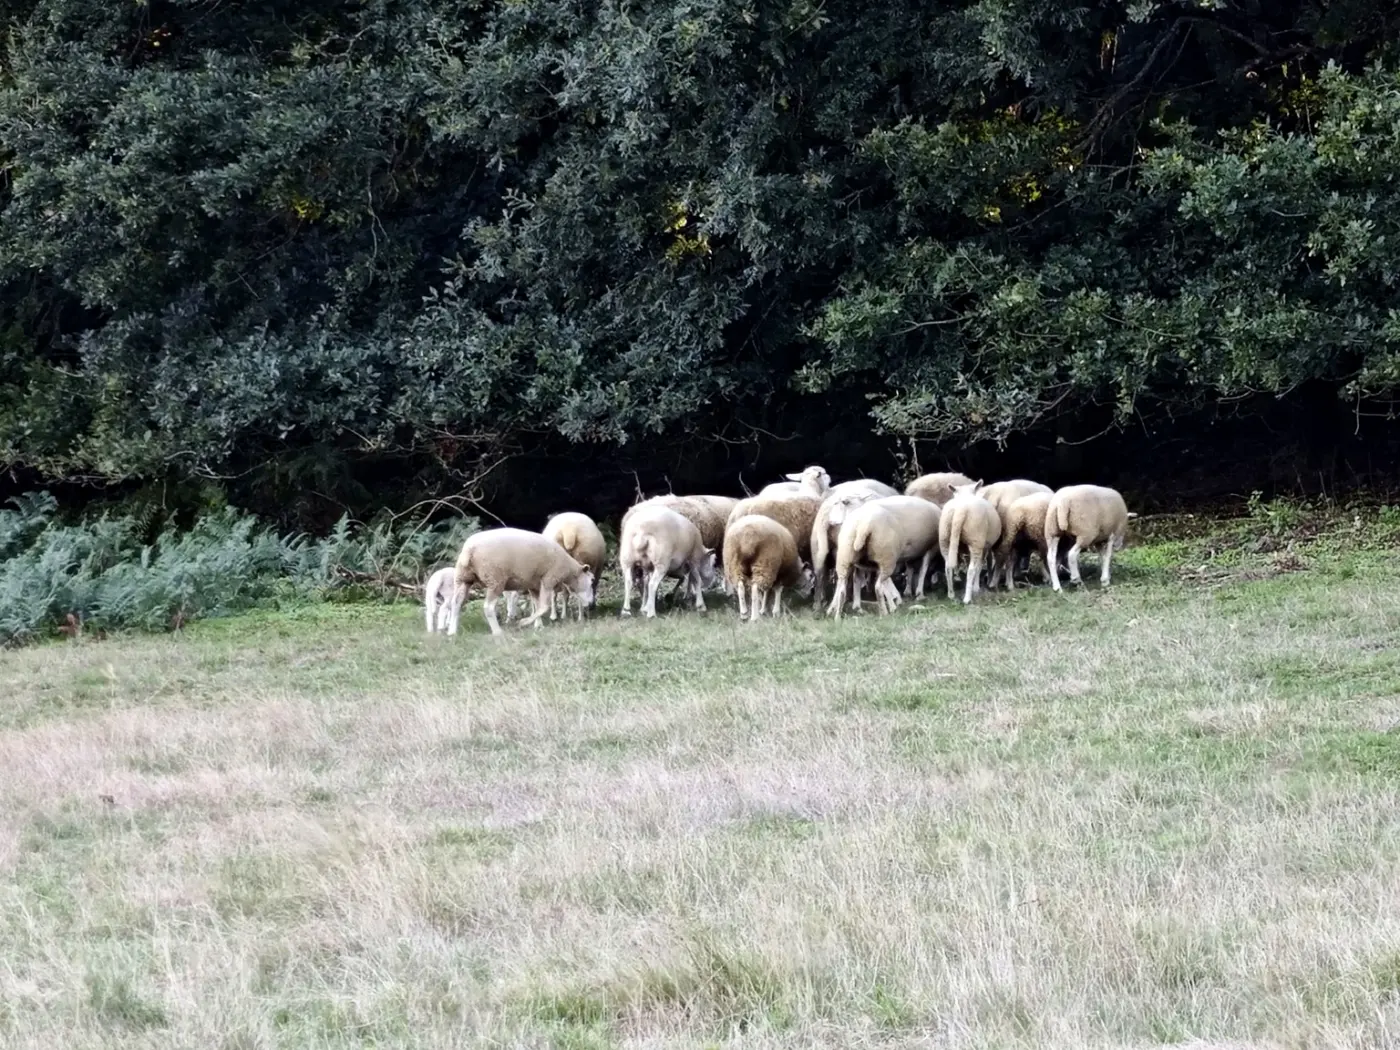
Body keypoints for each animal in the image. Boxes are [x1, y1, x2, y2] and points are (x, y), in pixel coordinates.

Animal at [446, 529, 594, 637]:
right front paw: (523, 623)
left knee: (456, 603)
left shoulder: (534, 585)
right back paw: (497, 632)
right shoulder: (549, 579)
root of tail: (469, 551)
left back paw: (452, 632)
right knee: (488, 607)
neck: (568, 569)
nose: (591, 602)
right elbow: (544, 606)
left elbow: (537, 604)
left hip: (463, 578)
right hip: (495, 578)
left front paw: (538, 625)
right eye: (591, 581)